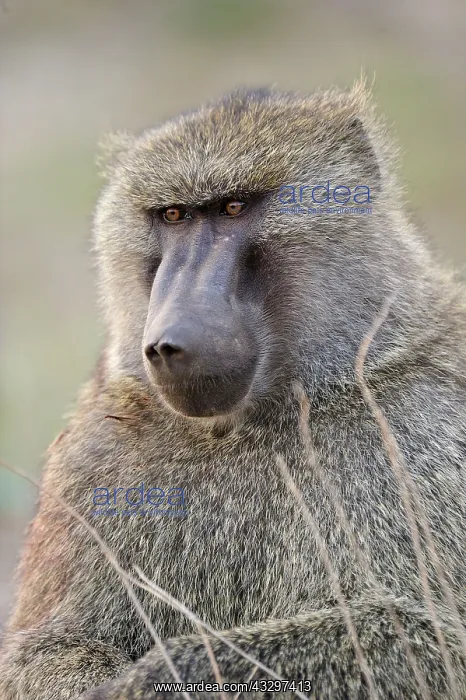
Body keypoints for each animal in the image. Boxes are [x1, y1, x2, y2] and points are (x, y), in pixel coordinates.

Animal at [0, 81, 465, 700]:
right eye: (173, 215)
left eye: (233, 208)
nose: (170, 341)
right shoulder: (93, 459)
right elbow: (47, 653)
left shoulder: (425, 431)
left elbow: (434, 642)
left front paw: (158, 676)